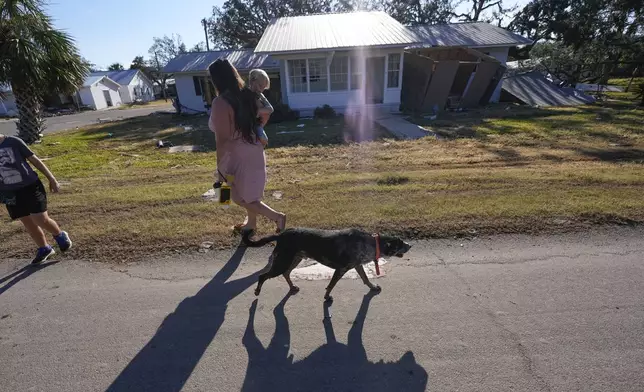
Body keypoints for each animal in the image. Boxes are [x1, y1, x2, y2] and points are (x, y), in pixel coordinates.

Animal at [242, 228, 412, 302]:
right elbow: (331, 285)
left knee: (286, 273)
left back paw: (292, 287)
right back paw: (257, 290)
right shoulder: (341, 269)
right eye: (400, 244)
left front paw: (373, 287)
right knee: (263, 276)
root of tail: (281, 234)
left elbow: (365, 279)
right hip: (283, 262)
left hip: (295, 259)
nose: (410, 245)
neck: (370, 243)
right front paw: (326, 296)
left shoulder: (357, 265)